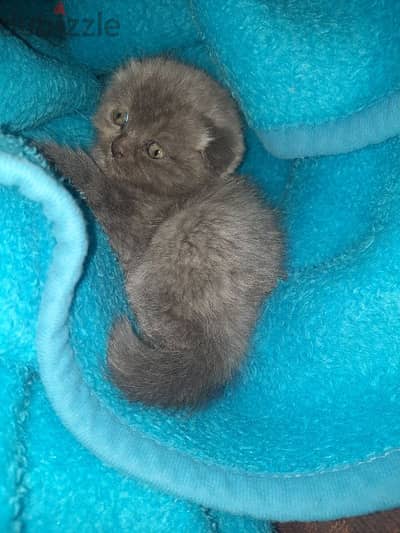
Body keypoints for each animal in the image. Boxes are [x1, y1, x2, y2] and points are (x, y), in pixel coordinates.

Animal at [42, 57, 282, 408]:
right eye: (120, 116)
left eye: (154, 150)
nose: (117, 148)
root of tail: (221, 350)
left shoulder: (132, 220)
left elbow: (94, 184)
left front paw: (52, 153)